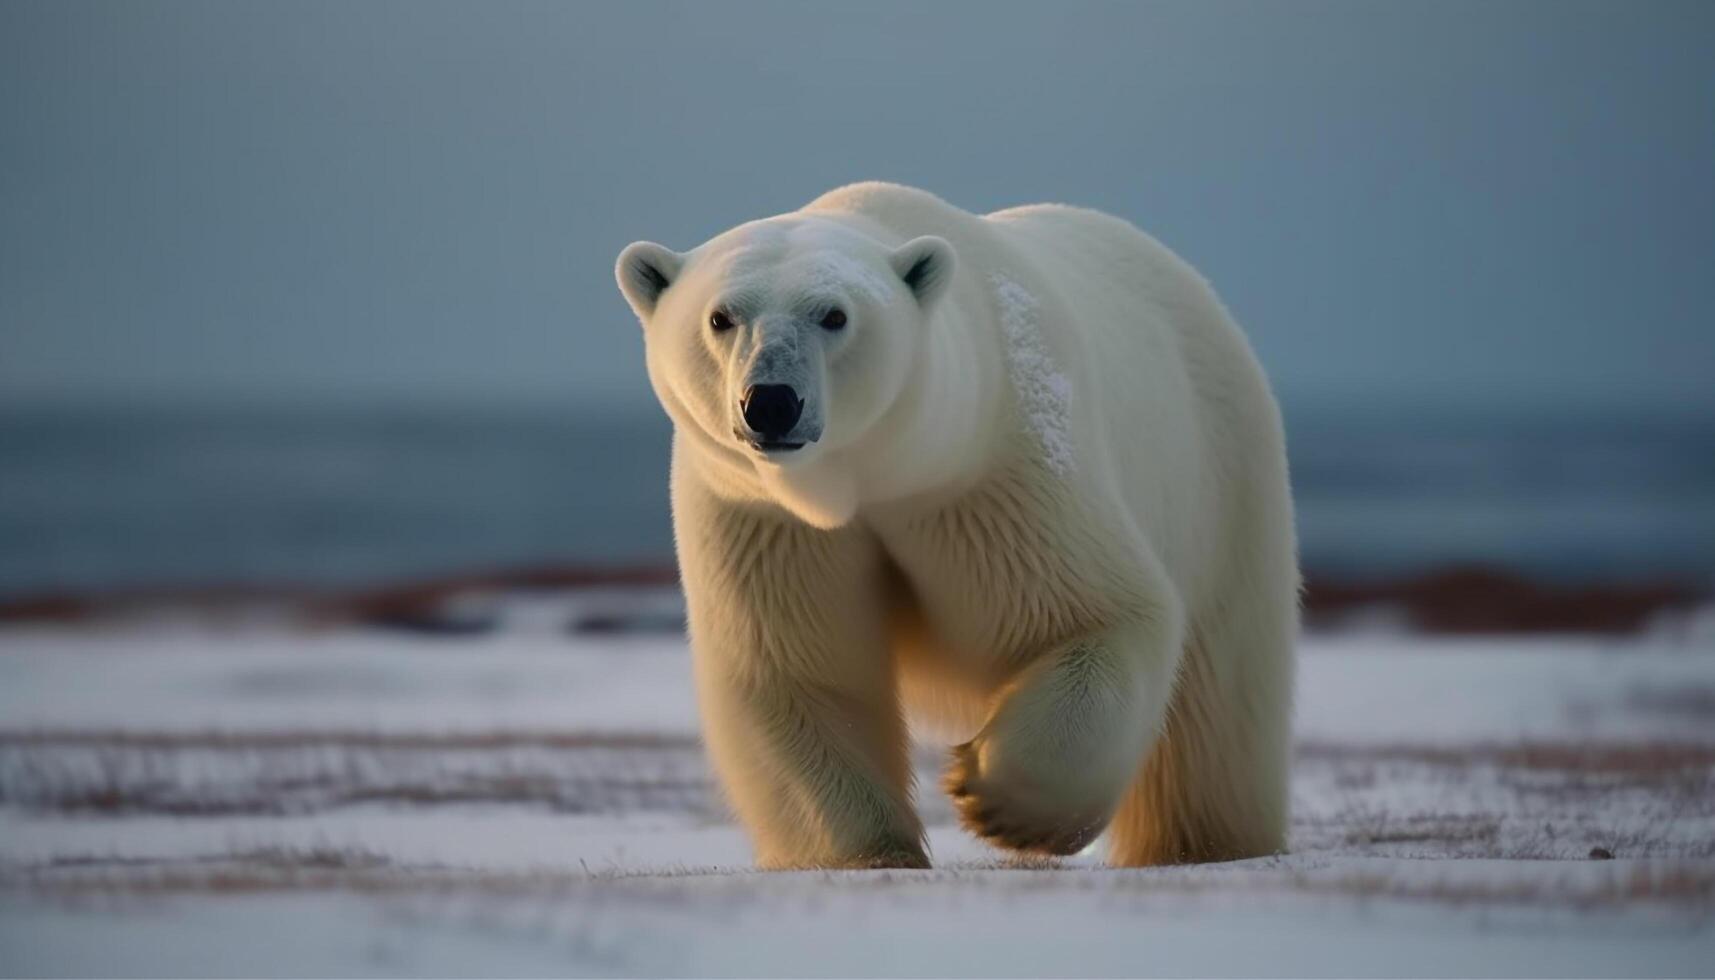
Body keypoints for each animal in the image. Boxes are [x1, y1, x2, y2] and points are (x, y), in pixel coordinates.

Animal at [610, 180, 1289, 871]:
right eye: (721, 317)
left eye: (834, 315)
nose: (772, 401)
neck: (874, 477)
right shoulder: (764, 518)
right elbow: (800, 672)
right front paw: (872, 851)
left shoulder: (993, 474)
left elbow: (1094, 613)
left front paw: (995, 798)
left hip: (1224, 480)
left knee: (1217, 702)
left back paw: (1201, 841)